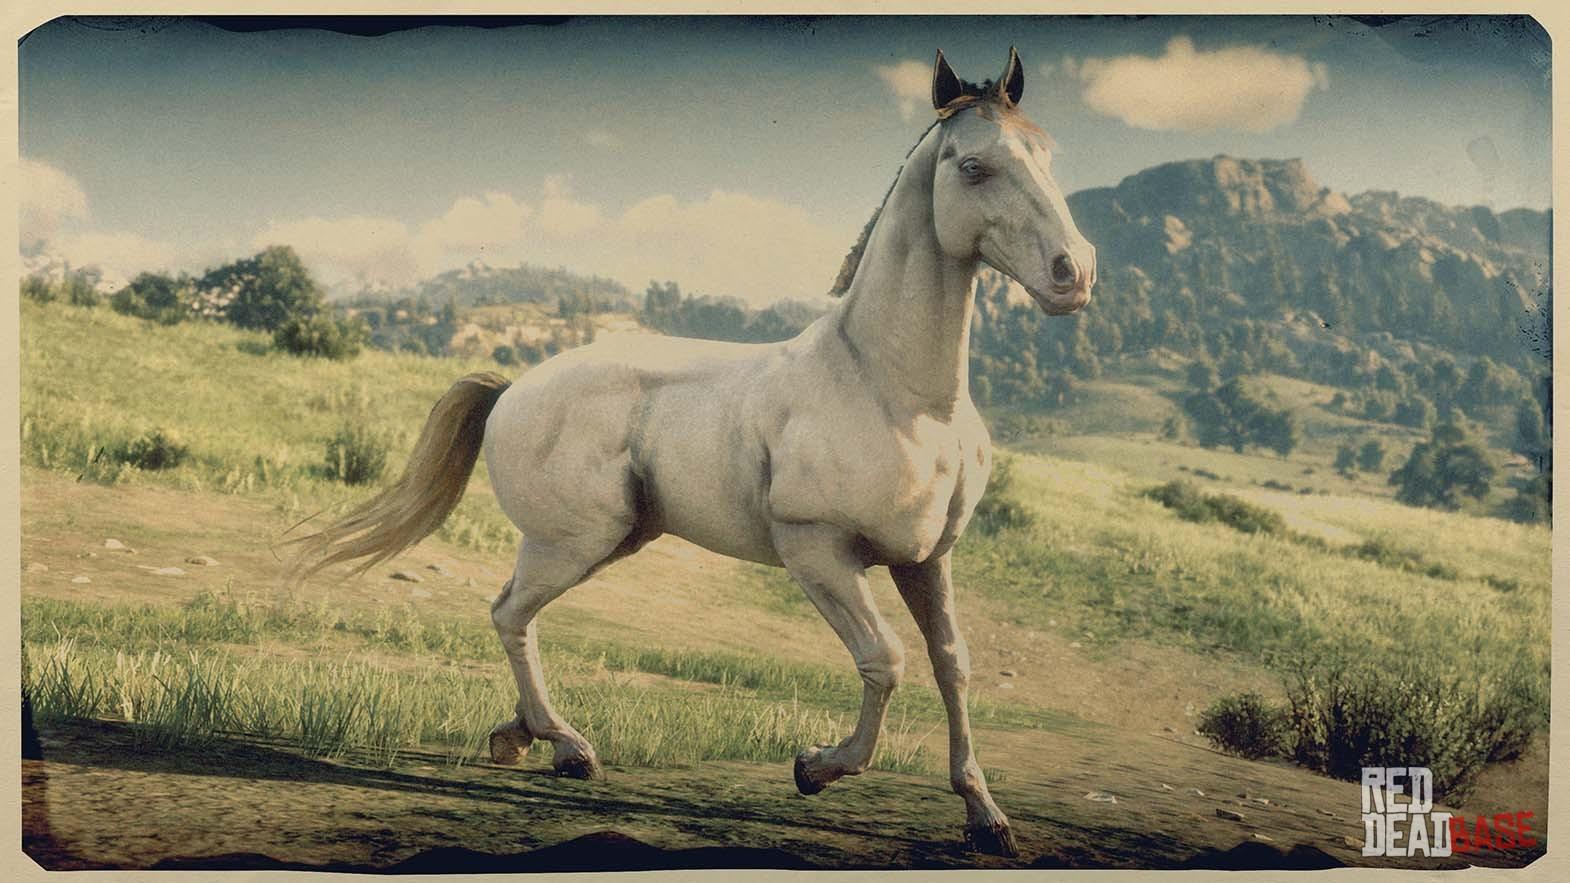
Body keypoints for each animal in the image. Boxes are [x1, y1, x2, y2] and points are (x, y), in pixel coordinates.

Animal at [289, 48, 1095, 858]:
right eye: (973, 167)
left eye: (1047, 154)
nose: (1075, 273)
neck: (895, 391)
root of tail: (514, 386)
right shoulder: (819, 551)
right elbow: (885, 660)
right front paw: (814, 767)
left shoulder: (926, 559)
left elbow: (953, 665)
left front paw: (985, 816)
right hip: (573, 542)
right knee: (510, 614)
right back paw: (568, 746)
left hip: (608, 541)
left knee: (511, 611)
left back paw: (520, 737)